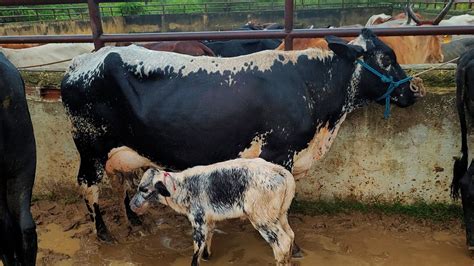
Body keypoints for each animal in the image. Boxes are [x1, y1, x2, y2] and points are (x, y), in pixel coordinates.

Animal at [62, 28, 418, 242]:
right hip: (89, 147)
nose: (414, 91)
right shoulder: (279, 154)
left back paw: (135, 223)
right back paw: (104, 233)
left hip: (119, 152)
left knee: (121, 183)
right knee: (88, 188)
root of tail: (81, 61)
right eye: (386, 58)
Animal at [130, 158, 296, 266]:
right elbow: (208, 240)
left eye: (144, 189)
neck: (181, 187)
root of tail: (280, 171)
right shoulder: (208, 220)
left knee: (282, 242)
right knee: (290, 235)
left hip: (261, 217)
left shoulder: (198, 220)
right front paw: (207, 257)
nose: (131, 205)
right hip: (280, 214)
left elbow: (197, 249)